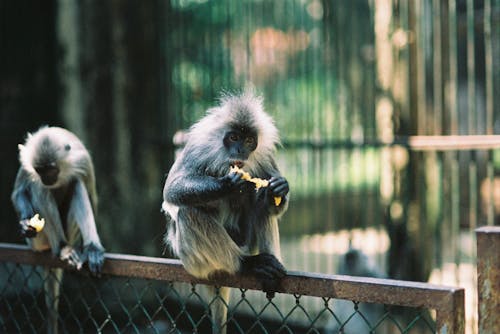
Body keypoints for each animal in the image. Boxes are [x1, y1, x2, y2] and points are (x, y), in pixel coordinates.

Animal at [11, 126, 104, 334]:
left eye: (52, 169)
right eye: (40, 170)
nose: (46, 178)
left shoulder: (83, 160)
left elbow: (92, 197)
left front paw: (93, 247)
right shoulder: (27, 165)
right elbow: (18, 193)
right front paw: (25, 222)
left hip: (70, 232)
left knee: (76, 184)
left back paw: (88, 248)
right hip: (38, 242)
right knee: (39, 188)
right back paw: (61, 248)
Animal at [163, 91, 290, 334]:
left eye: (249, 141)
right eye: (233, 138)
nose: (240, 150)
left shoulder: (265, 155)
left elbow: (272, 204)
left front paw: (279, 189)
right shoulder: (197, 147)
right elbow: (172, 190)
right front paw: (228, 184)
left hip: (247, 242)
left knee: (261, 206)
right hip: (194, 261)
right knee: (188, 212)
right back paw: (247, 264)